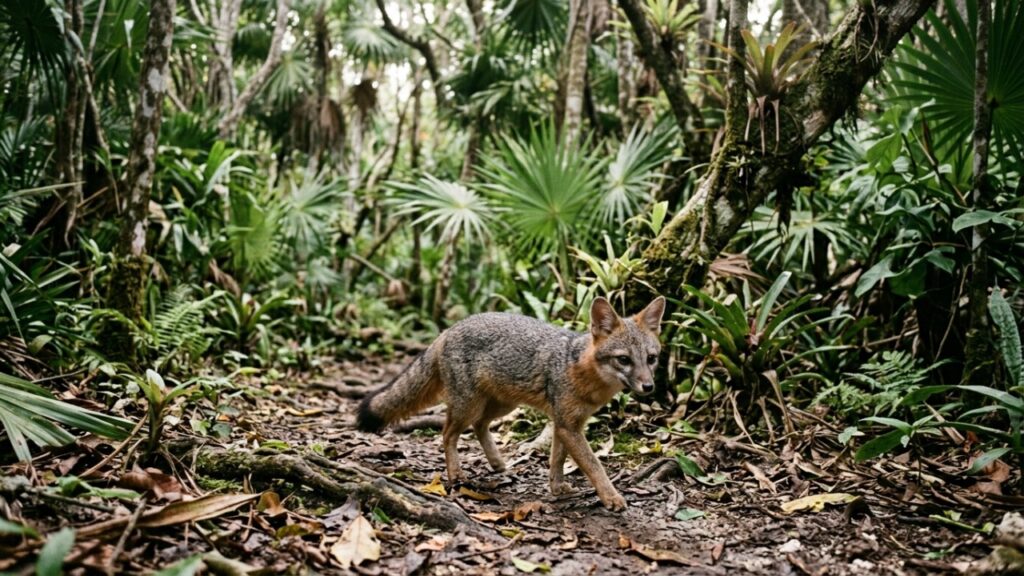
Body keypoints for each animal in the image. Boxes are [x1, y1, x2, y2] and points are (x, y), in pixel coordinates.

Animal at [356, 296, 666, 511]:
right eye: (624, 360)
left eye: (651, 359)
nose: (649, 387)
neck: (580, 368)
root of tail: (450, 328)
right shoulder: (568, 426)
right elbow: (594, 466)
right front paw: (611, 497)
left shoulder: (564, 424)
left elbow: (557, 460)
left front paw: (557, 488)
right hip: (468, 405)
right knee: (447, 434)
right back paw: (456, 475)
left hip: (502, 405)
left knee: (479, 426)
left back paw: (497, 463)